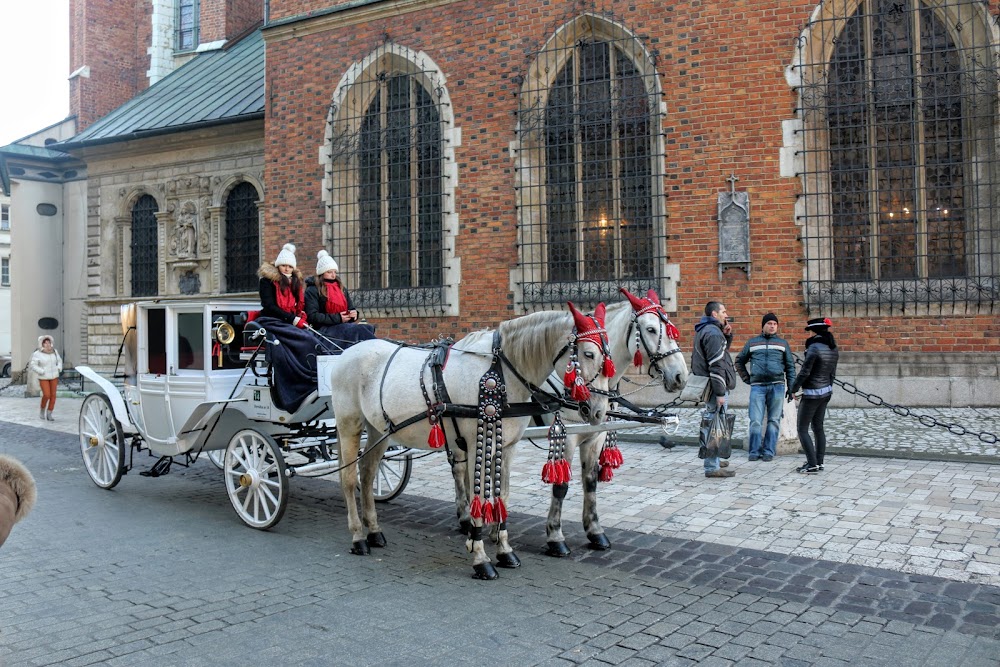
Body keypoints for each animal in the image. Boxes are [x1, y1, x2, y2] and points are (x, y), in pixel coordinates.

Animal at [328, 302, 612, 580]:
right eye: (588, 354)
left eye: (607, 357)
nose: (599, 411)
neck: (499, 370)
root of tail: (346, 353)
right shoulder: (478, 444)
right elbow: (478, 497)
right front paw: (480, 557)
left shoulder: (508, 447)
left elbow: (503, 495)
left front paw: (505, 550)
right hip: (349, 423)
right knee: (349, 478)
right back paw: (358, 536)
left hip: (378, 430)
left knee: (367, 473)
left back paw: (374, 531)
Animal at [544, 290, 692, 556]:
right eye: (651, 329)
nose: (680, 376)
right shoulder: (566, 437)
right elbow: (560, 486)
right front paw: (555, 536)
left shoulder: (596, 436)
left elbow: (590, 482)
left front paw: (595, 531)